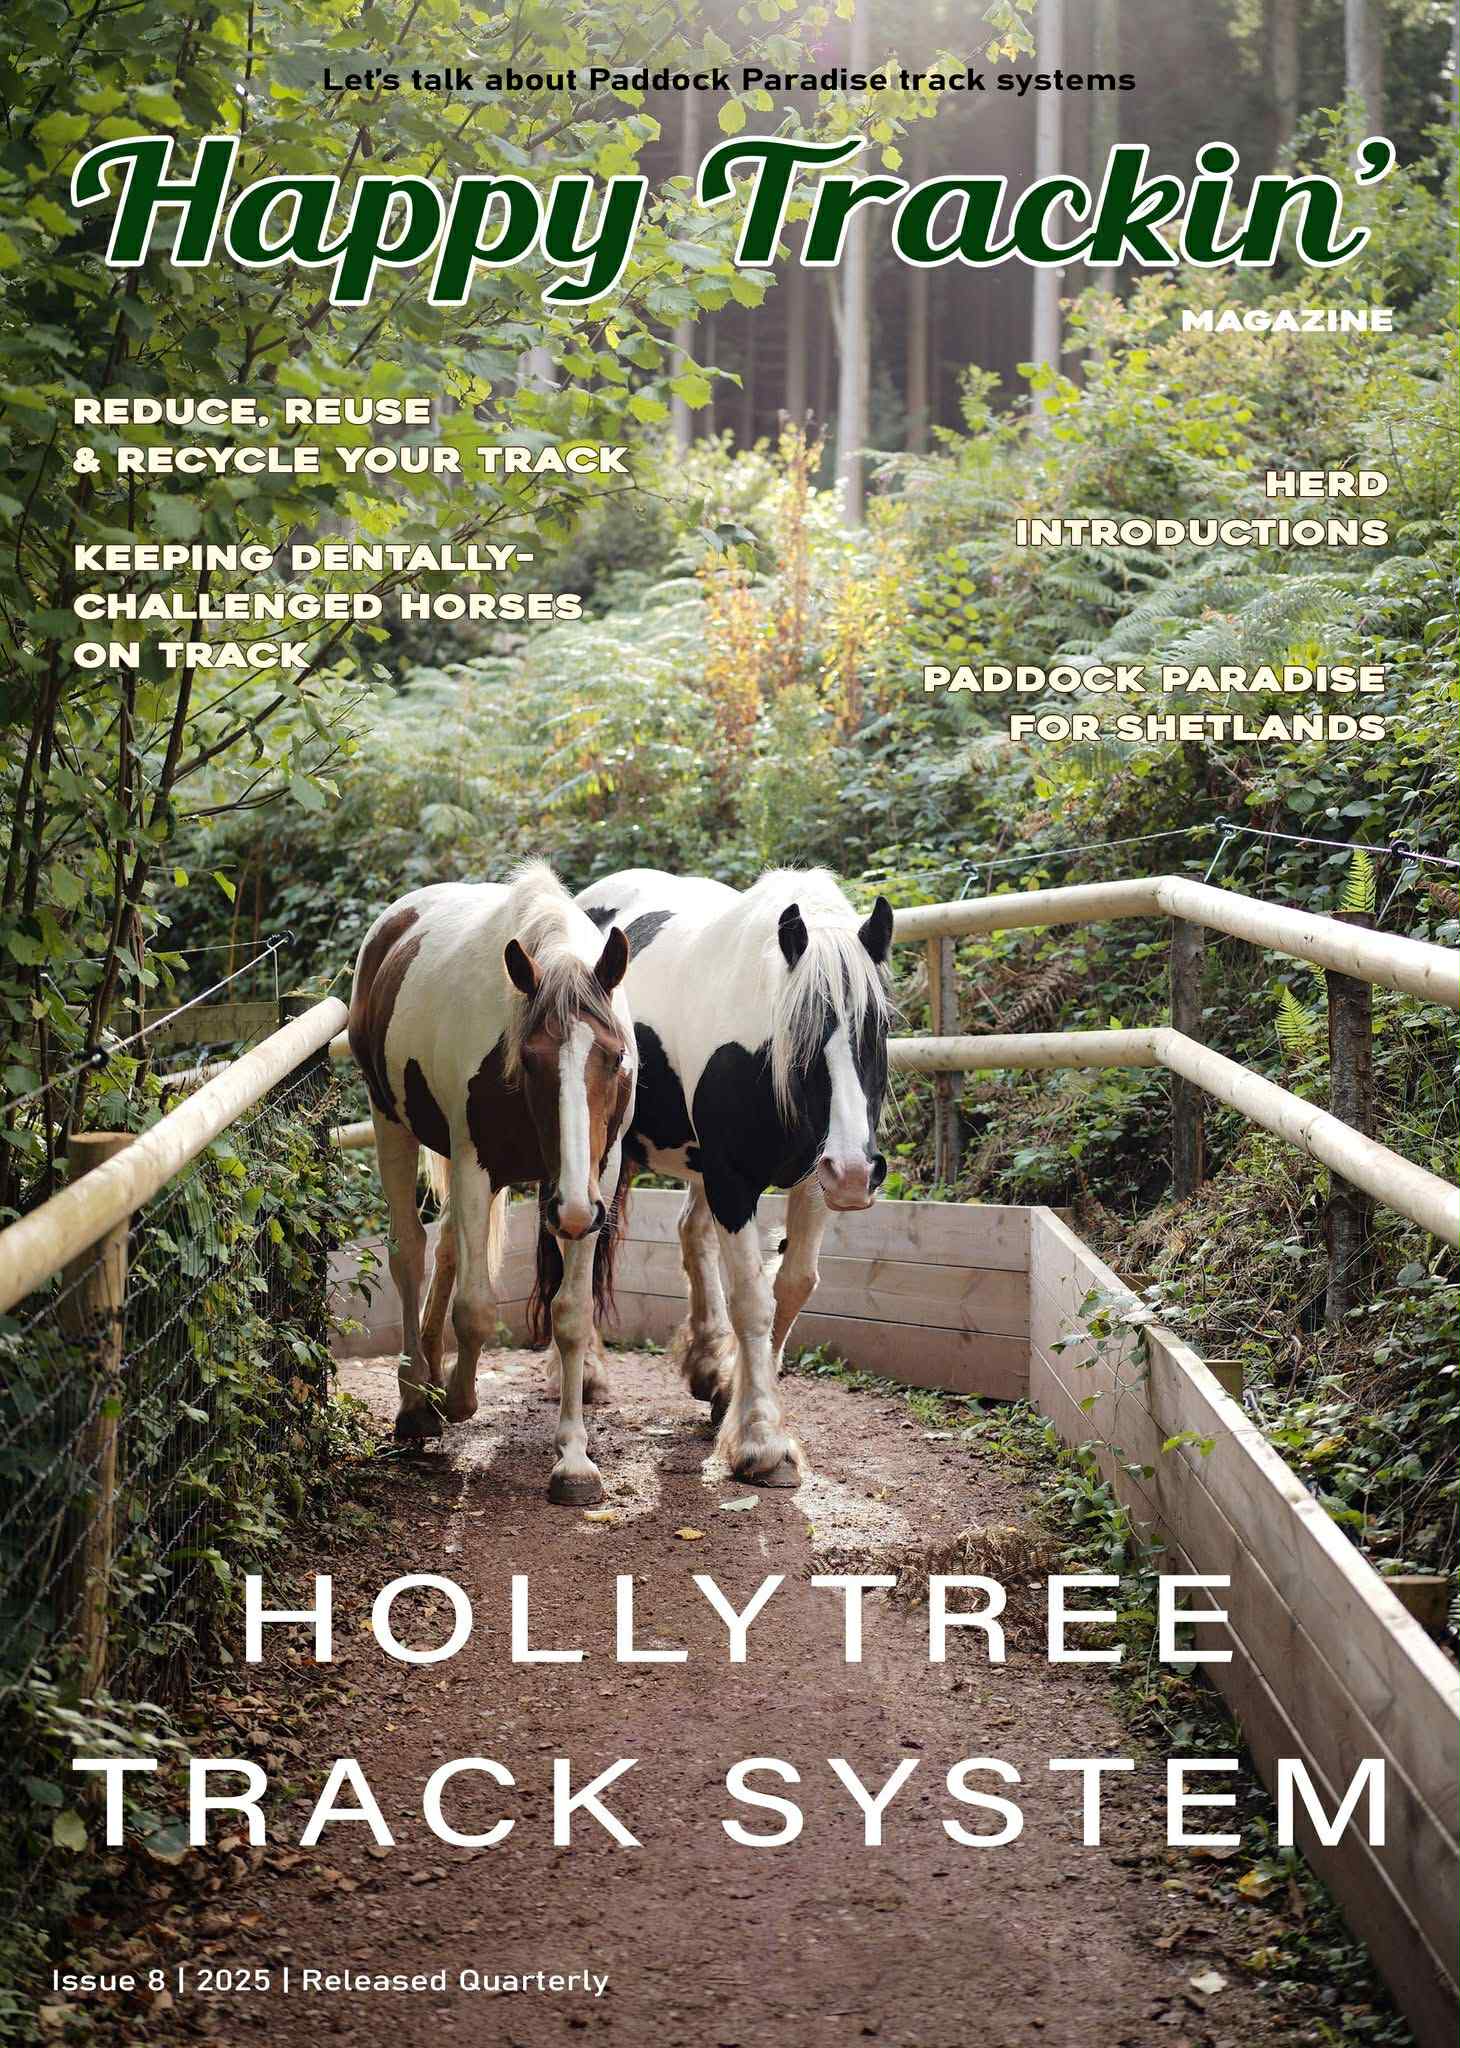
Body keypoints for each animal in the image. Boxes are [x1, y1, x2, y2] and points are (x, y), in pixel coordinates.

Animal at [347, 862, 635, 1505]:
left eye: (613, 1057)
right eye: (529, 1059)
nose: (573, 1213)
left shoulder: (591, 1182)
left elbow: (571, 1314)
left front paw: (574, 1459)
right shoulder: (476, 1164)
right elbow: (476, 1308)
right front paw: (456, 1398)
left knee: (450, 1247)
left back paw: (430, 1373)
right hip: (390, 1123)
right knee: (411, 1252)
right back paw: (415, 1402)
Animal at [569, 866, 894, 1488]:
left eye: (881, 1025)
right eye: (799, 1030)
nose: (855, 1174)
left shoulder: (812, 1179)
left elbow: (792, 1287)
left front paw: (731, 1395)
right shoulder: (732, 1181)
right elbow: (752, 1300)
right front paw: (762, 1443)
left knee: (690, 1235)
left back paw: (704, 1364)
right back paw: (586, 1373)